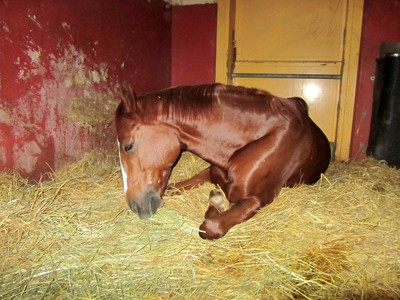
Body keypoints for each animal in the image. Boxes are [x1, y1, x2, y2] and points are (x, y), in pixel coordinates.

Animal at [115, 82, 332, 239]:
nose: (135, 206)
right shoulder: (212, 172)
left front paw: (217, 202)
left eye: (128, 146)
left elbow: (210, 227)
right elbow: (174, 187)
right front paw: (216, 198)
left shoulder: (255, 200)